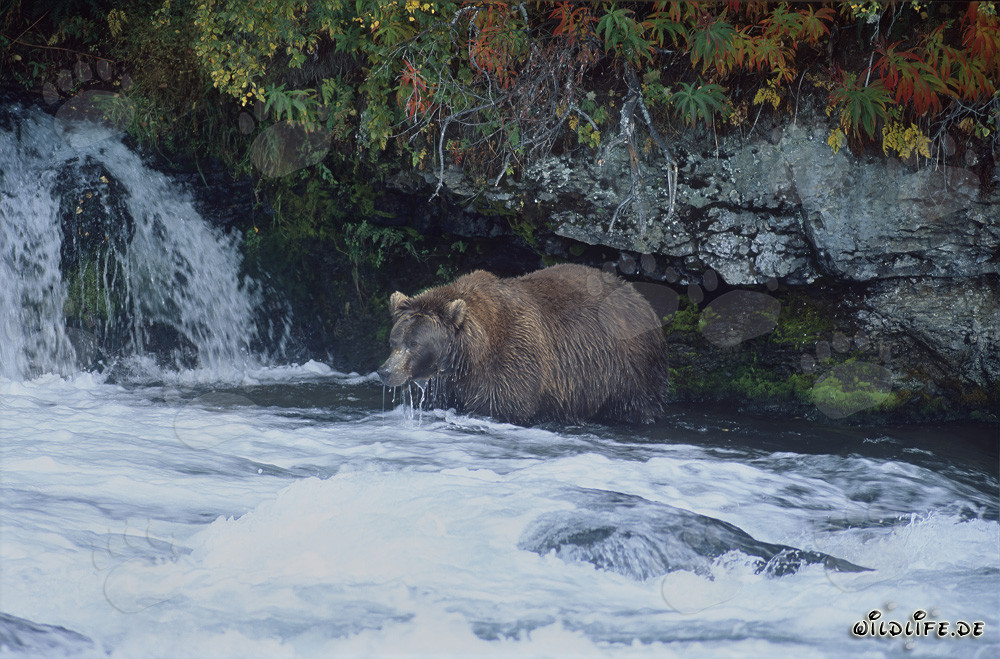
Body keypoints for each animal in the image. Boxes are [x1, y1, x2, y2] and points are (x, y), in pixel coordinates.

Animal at [377, 263, 669, 425]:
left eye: (414, 343)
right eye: (394, 340)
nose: (385, 371)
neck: (472, 354)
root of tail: (639, 296)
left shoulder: (513, 359)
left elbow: (504, 404)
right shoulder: (452, 382)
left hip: (629, 367)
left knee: (636, 402)